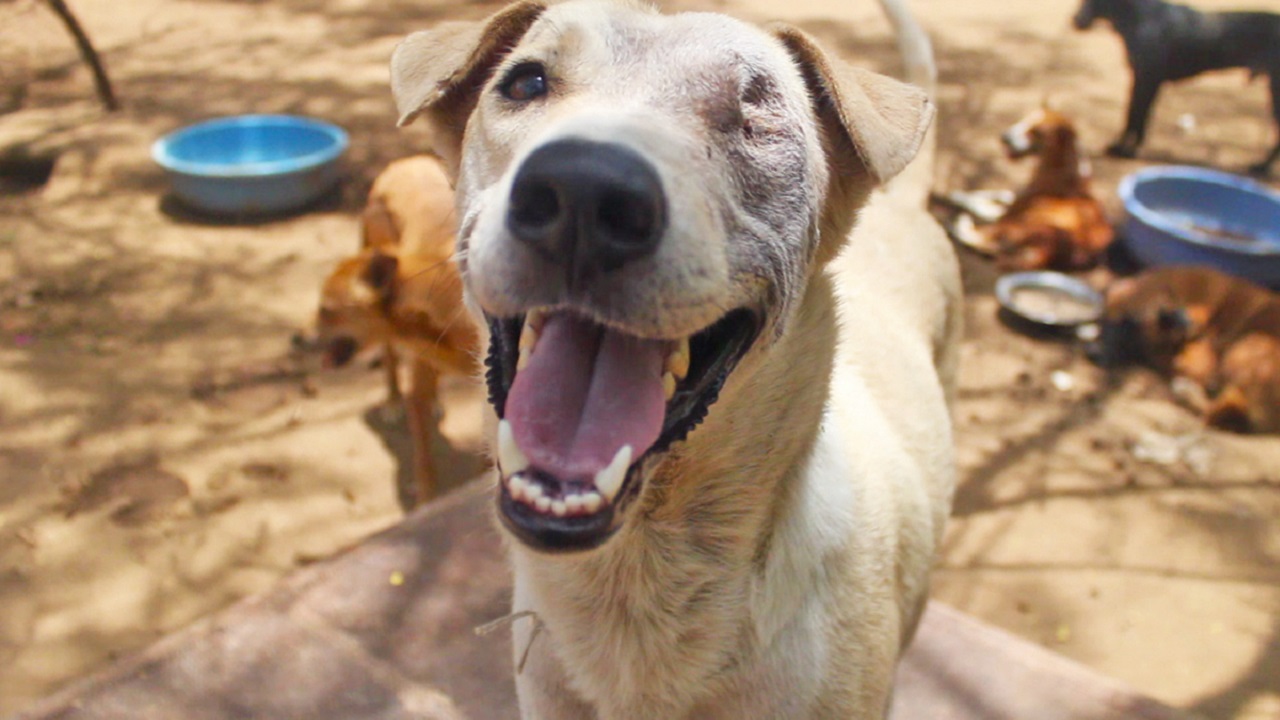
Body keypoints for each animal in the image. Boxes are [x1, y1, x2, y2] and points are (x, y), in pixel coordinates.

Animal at [317, 155, 481, 504]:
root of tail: (409, 161)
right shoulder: (416, 390)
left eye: (326, 311)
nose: (297, 339)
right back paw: (393, 402)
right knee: (391, 360)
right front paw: (426, 502)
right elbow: (424, 464)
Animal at [947, 102, 1116, 267]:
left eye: (1037, 132)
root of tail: (1048, 252)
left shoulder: (1009, 212)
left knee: (983, 238)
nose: (1004, 137)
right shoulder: (1015, 198)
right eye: (1024, 119)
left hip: (1019, 225)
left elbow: (979, 203)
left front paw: (957, 197)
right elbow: (995, 192)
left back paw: (961, 224)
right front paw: (959, 194)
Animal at [1070, 0, 1280, 172]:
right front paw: (1124, 147)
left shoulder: (1147, 80)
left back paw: (1262, 167)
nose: (1074, 20)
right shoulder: (1141, 80)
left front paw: (1125, 150)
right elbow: (1135, 118)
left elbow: (1136, 117)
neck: (1136, 16)